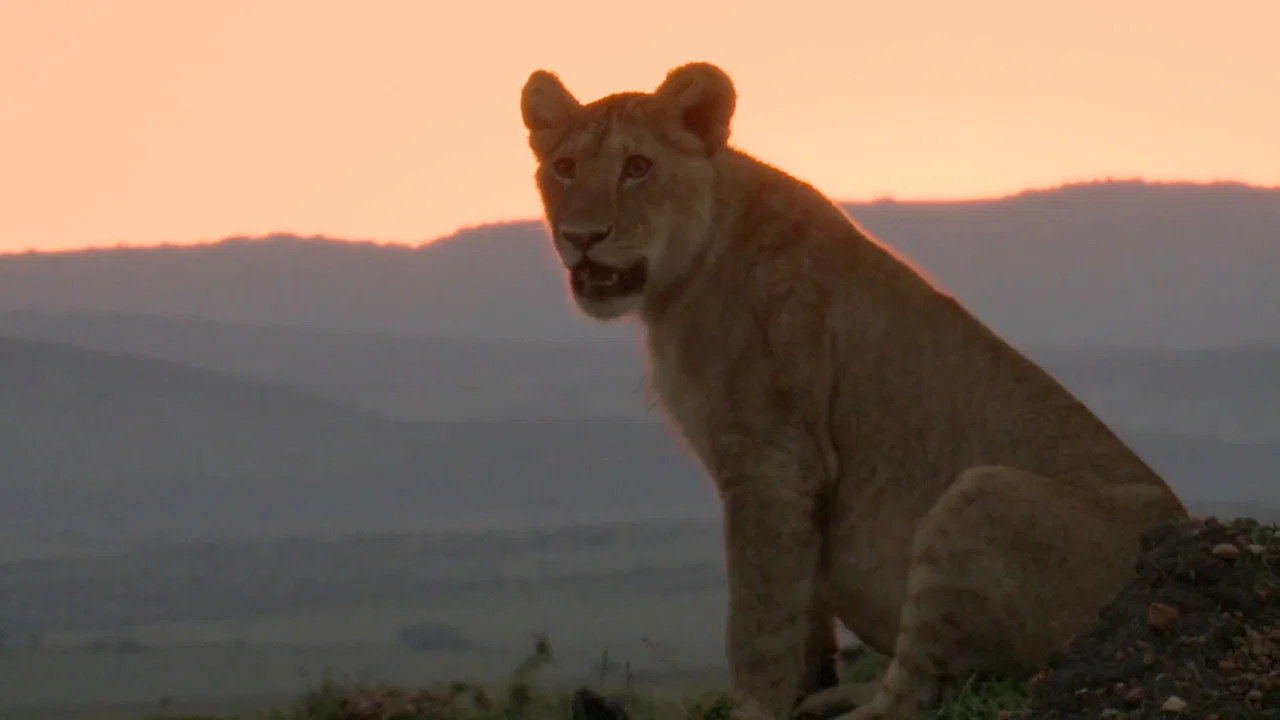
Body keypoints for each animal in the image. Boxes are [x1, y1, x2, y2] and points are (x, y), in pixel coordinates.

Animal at [518, 62, 1189, 720]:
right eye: (564, 167)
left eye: (637, 167)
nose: (581, 236)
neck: (679, 281)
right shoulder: (797, 482)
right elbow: (800, 606)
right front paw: (803, 686)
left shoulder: (771, 460)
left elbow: (758, 618)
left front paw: (757, 706)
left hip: (981, 493)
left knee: (919, 691)